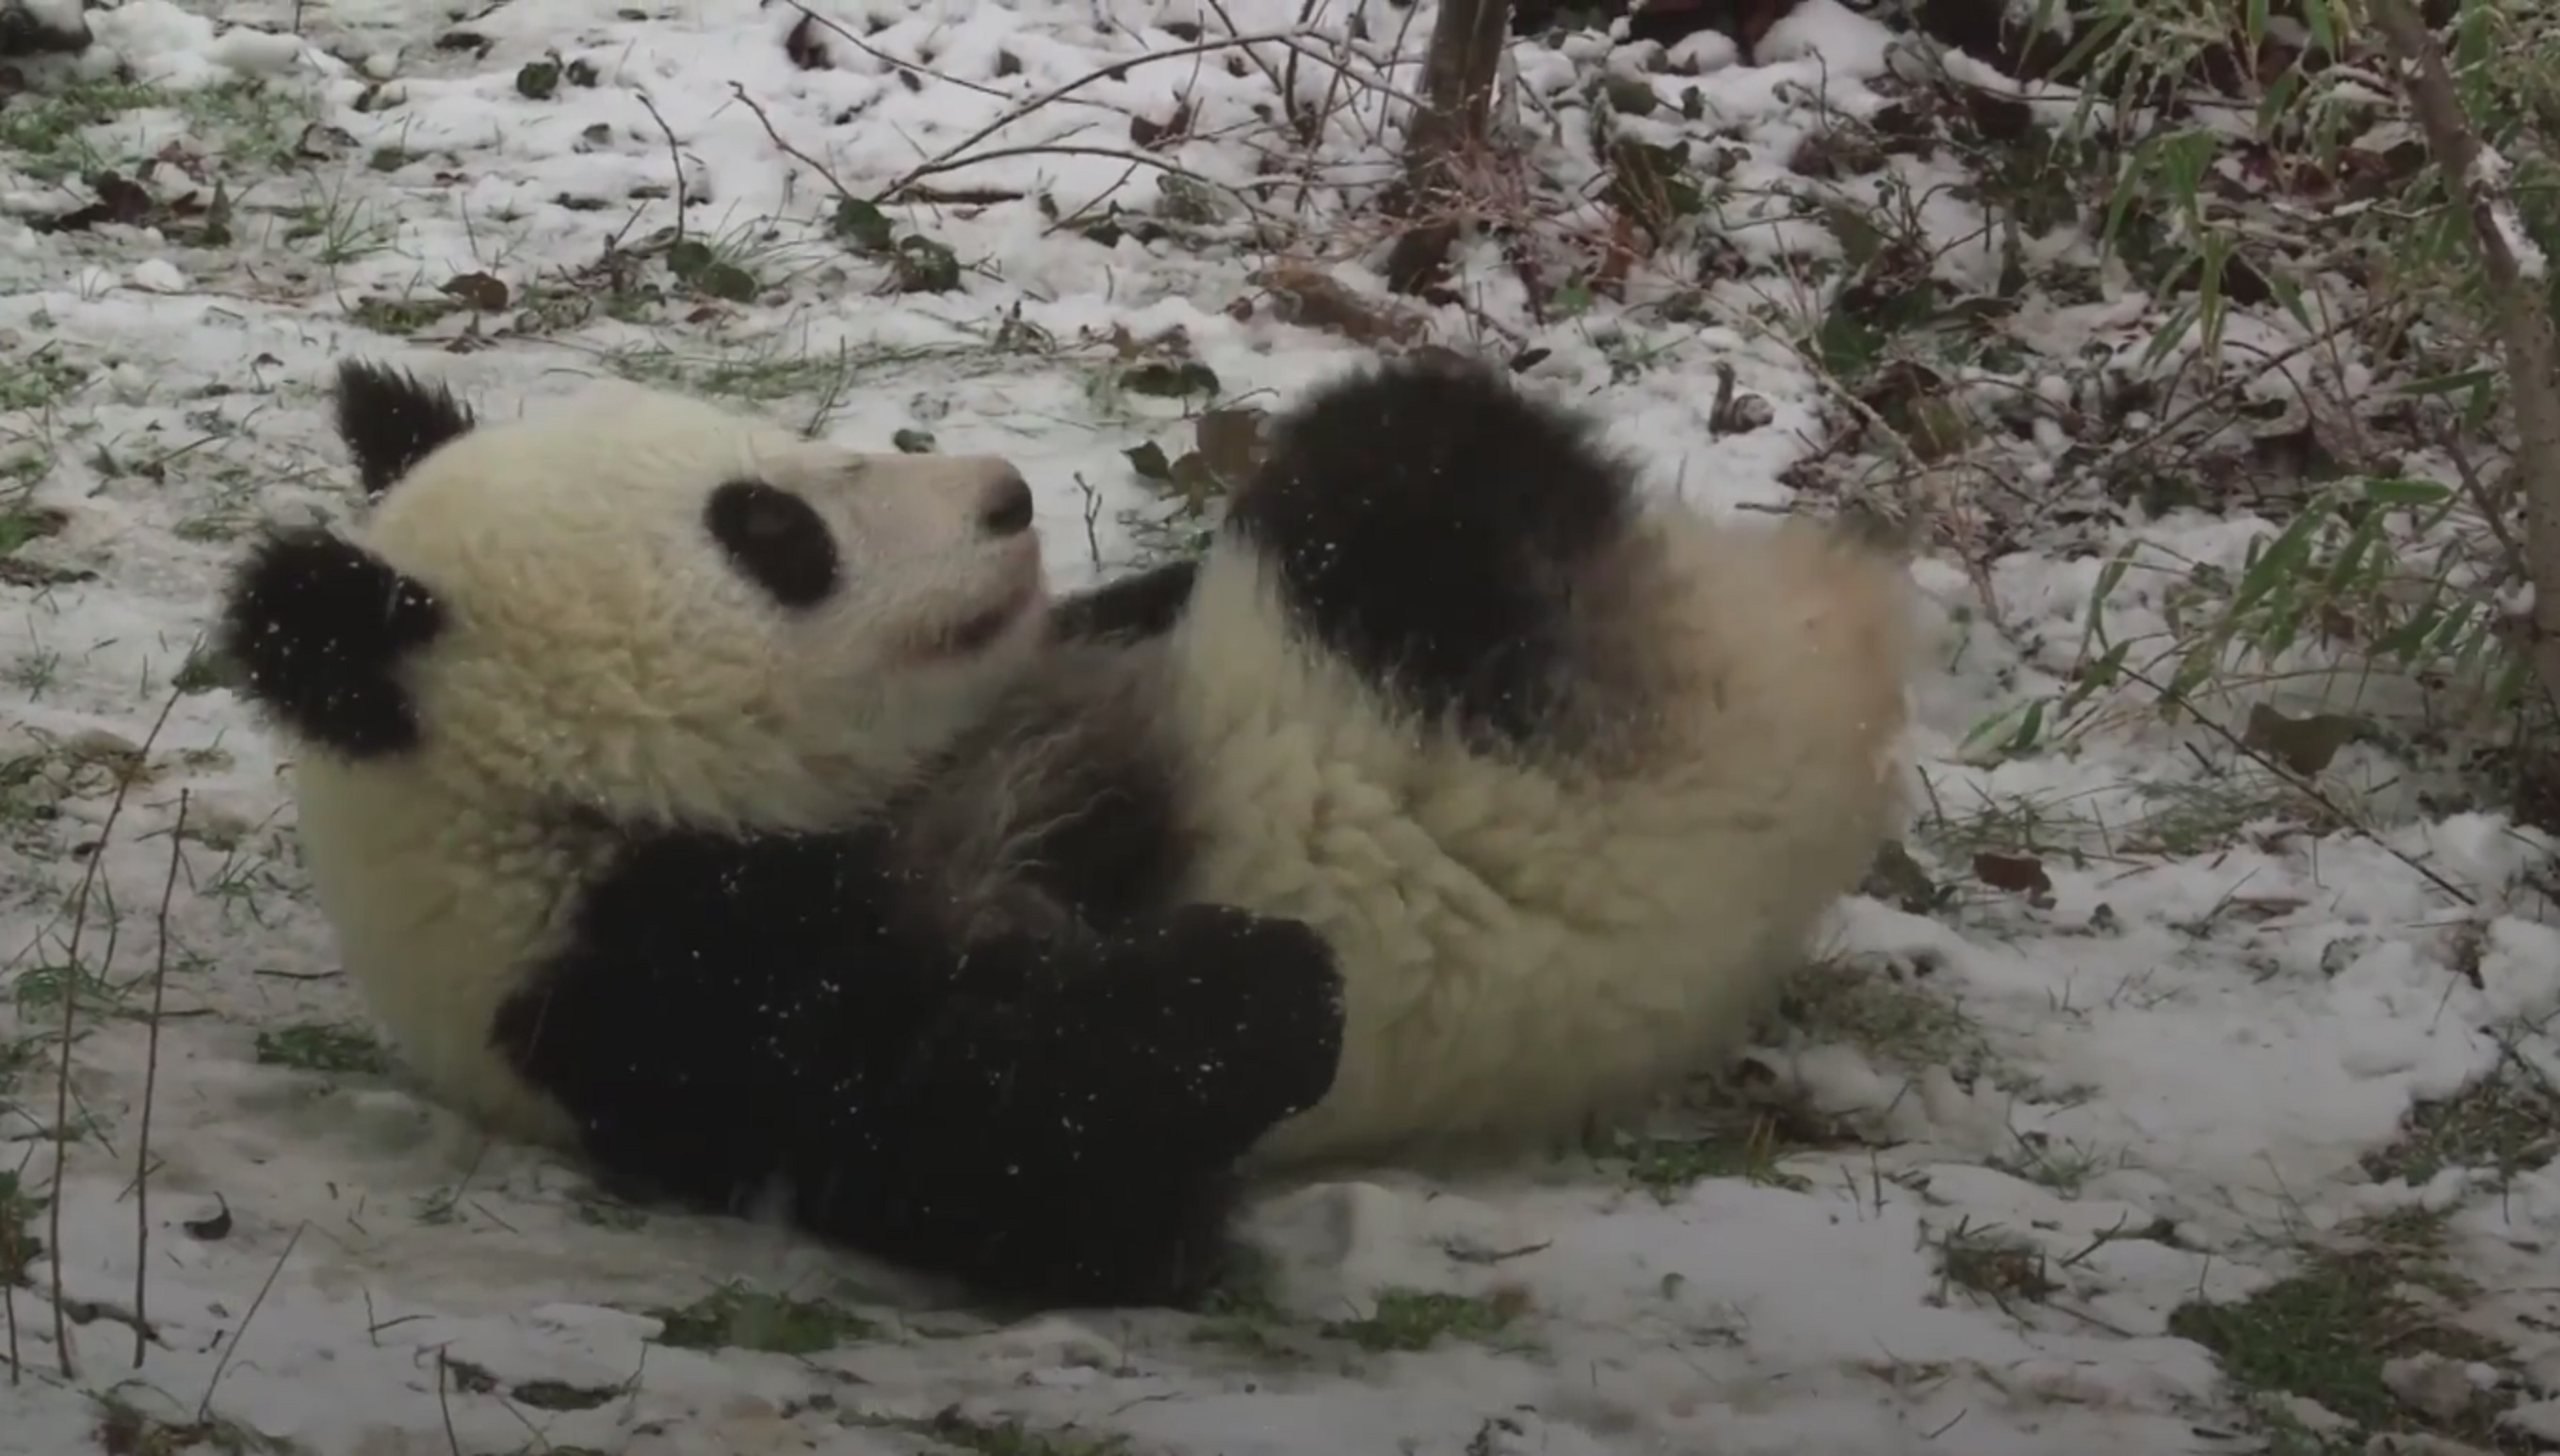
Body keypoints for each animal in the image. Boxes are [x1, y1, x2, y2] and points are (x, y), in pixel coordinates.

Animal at [219, 348, 1915, 1304]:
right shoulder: (660, 1015)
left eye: (776, 459)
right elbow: (1017, 1155)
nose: (1002, 495)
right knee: (1410, 491)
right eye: (768, 531)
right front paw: (1270, 977)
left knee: (1412, 453)